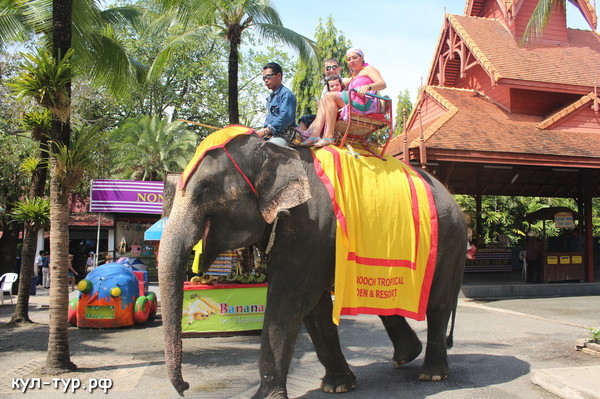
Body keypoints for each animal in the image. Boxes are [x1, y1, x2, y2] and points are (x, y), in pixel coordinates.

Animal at [159, 130, 468, 398]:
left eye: (204, 190)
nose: (186, 387)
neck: (275, 151)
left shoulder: (311, 227)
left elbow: (290, 301)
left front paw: (265, 397)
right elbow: (314, 309)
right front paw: (337, 387)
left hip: (451, 241)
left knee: (439, 302)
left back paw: (432, 374)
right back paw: (406, 357)